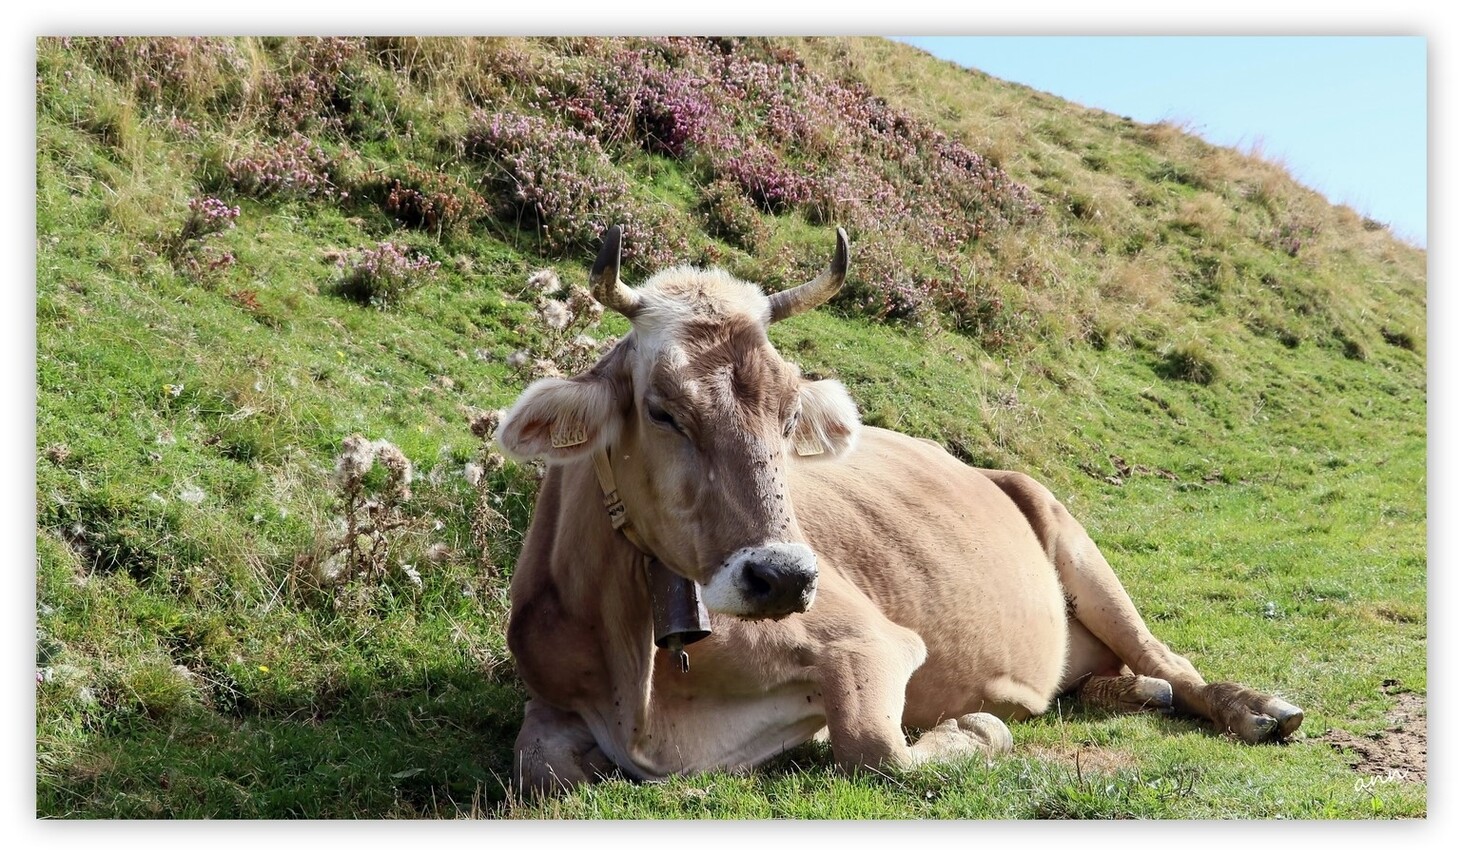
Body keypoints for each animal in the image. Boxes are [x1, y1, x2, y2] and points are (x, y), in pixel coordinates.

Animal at [494, 226, 1304, 796]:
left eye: (790, 414)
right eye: (662, 411)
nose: (783, 578)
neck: (646, 691)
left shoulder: (870, 642)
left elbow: (877, 750)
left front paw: (973, 727)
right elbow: (542, 767)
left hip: (1076, 544)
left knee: (1171, 657)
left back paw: (1253, 708)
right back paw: (1132, 692)